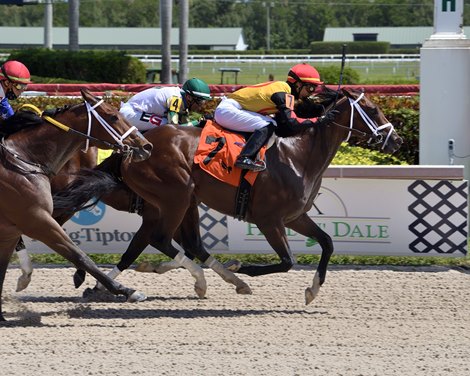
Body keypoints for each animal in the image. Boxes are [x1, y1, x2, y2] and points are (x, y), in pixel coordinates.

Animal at [0, 88, 151, 320]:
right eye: (113, 116)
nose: (145, 145)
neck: (23, 162)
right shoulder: (37, 220)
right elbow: (80, 255)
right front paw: (128, 291)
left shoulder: (13, 229)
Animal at [53, 89, 402, 306]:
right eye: (372, 110)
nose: (396, 140)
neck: (298, 157)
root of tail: (136, 152)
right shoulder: (269, 220)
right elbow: (287, 261)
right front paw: (243, 266)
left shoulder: (295, 217)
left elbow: (327, 243)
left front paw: (312, 290)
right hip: (176, 196)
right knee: (163, 240)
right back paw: (206, 279)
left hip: (184, 201)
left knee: (183, 243)